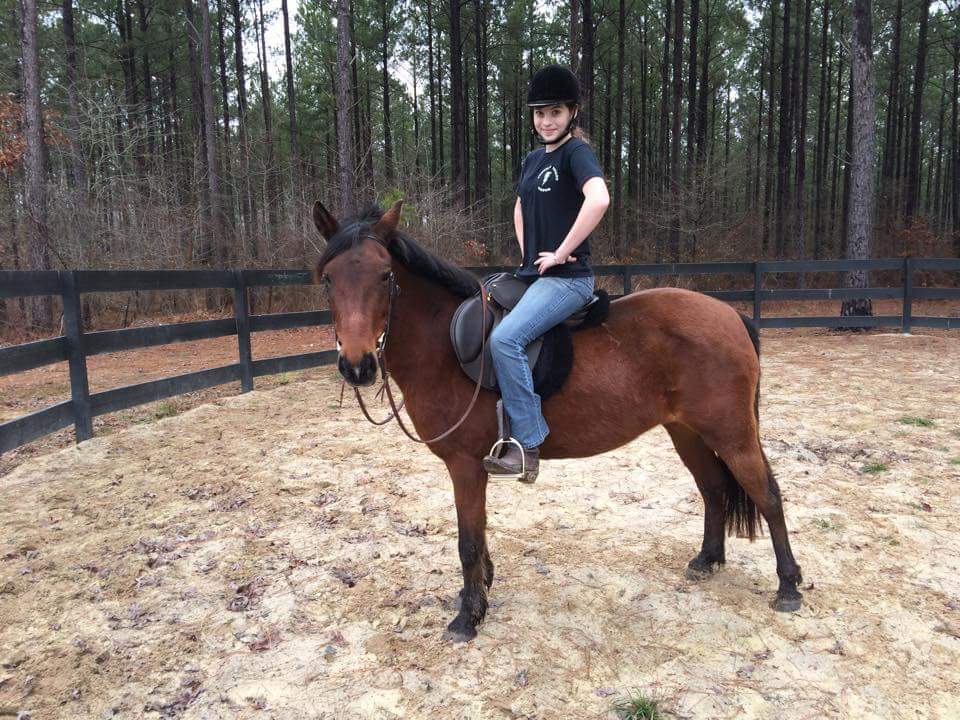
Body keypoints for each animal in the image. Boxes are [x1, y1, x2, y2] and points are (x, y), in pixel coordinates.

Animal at [310, 199, 803, 642]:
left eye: (385, 275)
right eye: (329, 279)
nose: (357, 365)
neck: (444, 343)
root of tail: (731, 315)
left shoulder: (465, 465)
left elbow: (468, 541)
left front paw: (468, 617)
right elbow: (480, 534)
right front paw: (480, 591)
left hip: (732, 434)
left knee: (767, 496)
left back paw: (788, 585)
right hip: (688, 432)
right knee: (714, 488)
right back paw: (708, 559)